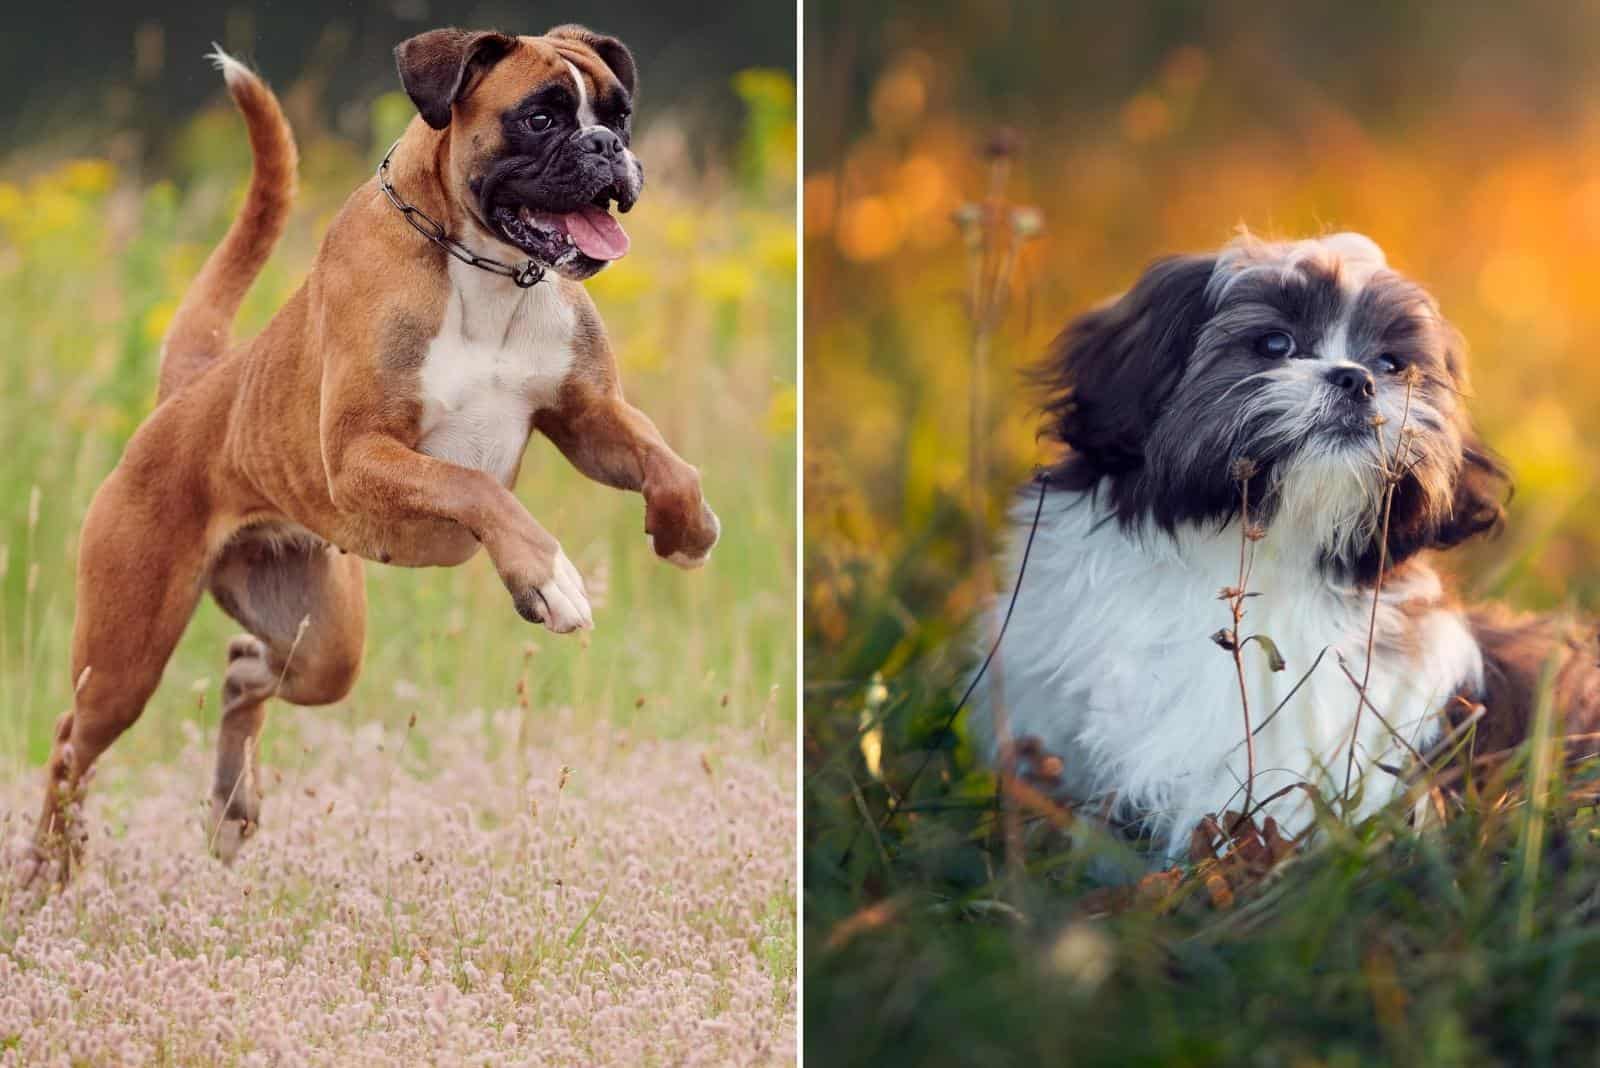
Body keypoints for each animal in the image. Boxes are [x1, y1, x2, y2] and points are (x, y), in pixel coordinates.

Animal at [25, 24, 720, 882]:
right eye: (541, 118)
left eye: (619, 114)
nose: (608, 148)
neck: (487, 268)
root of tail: (191, 389)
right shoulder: (361, 458)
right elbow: (477, 490)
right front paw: (548, 580)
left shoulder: (587, 417)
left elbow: (666, 461)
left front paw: (686, 529)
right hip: (125, 655)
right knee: (71, 745)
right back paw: (49, 870)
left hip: (322, 640)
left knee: (247, 669)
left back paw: (230, 809)